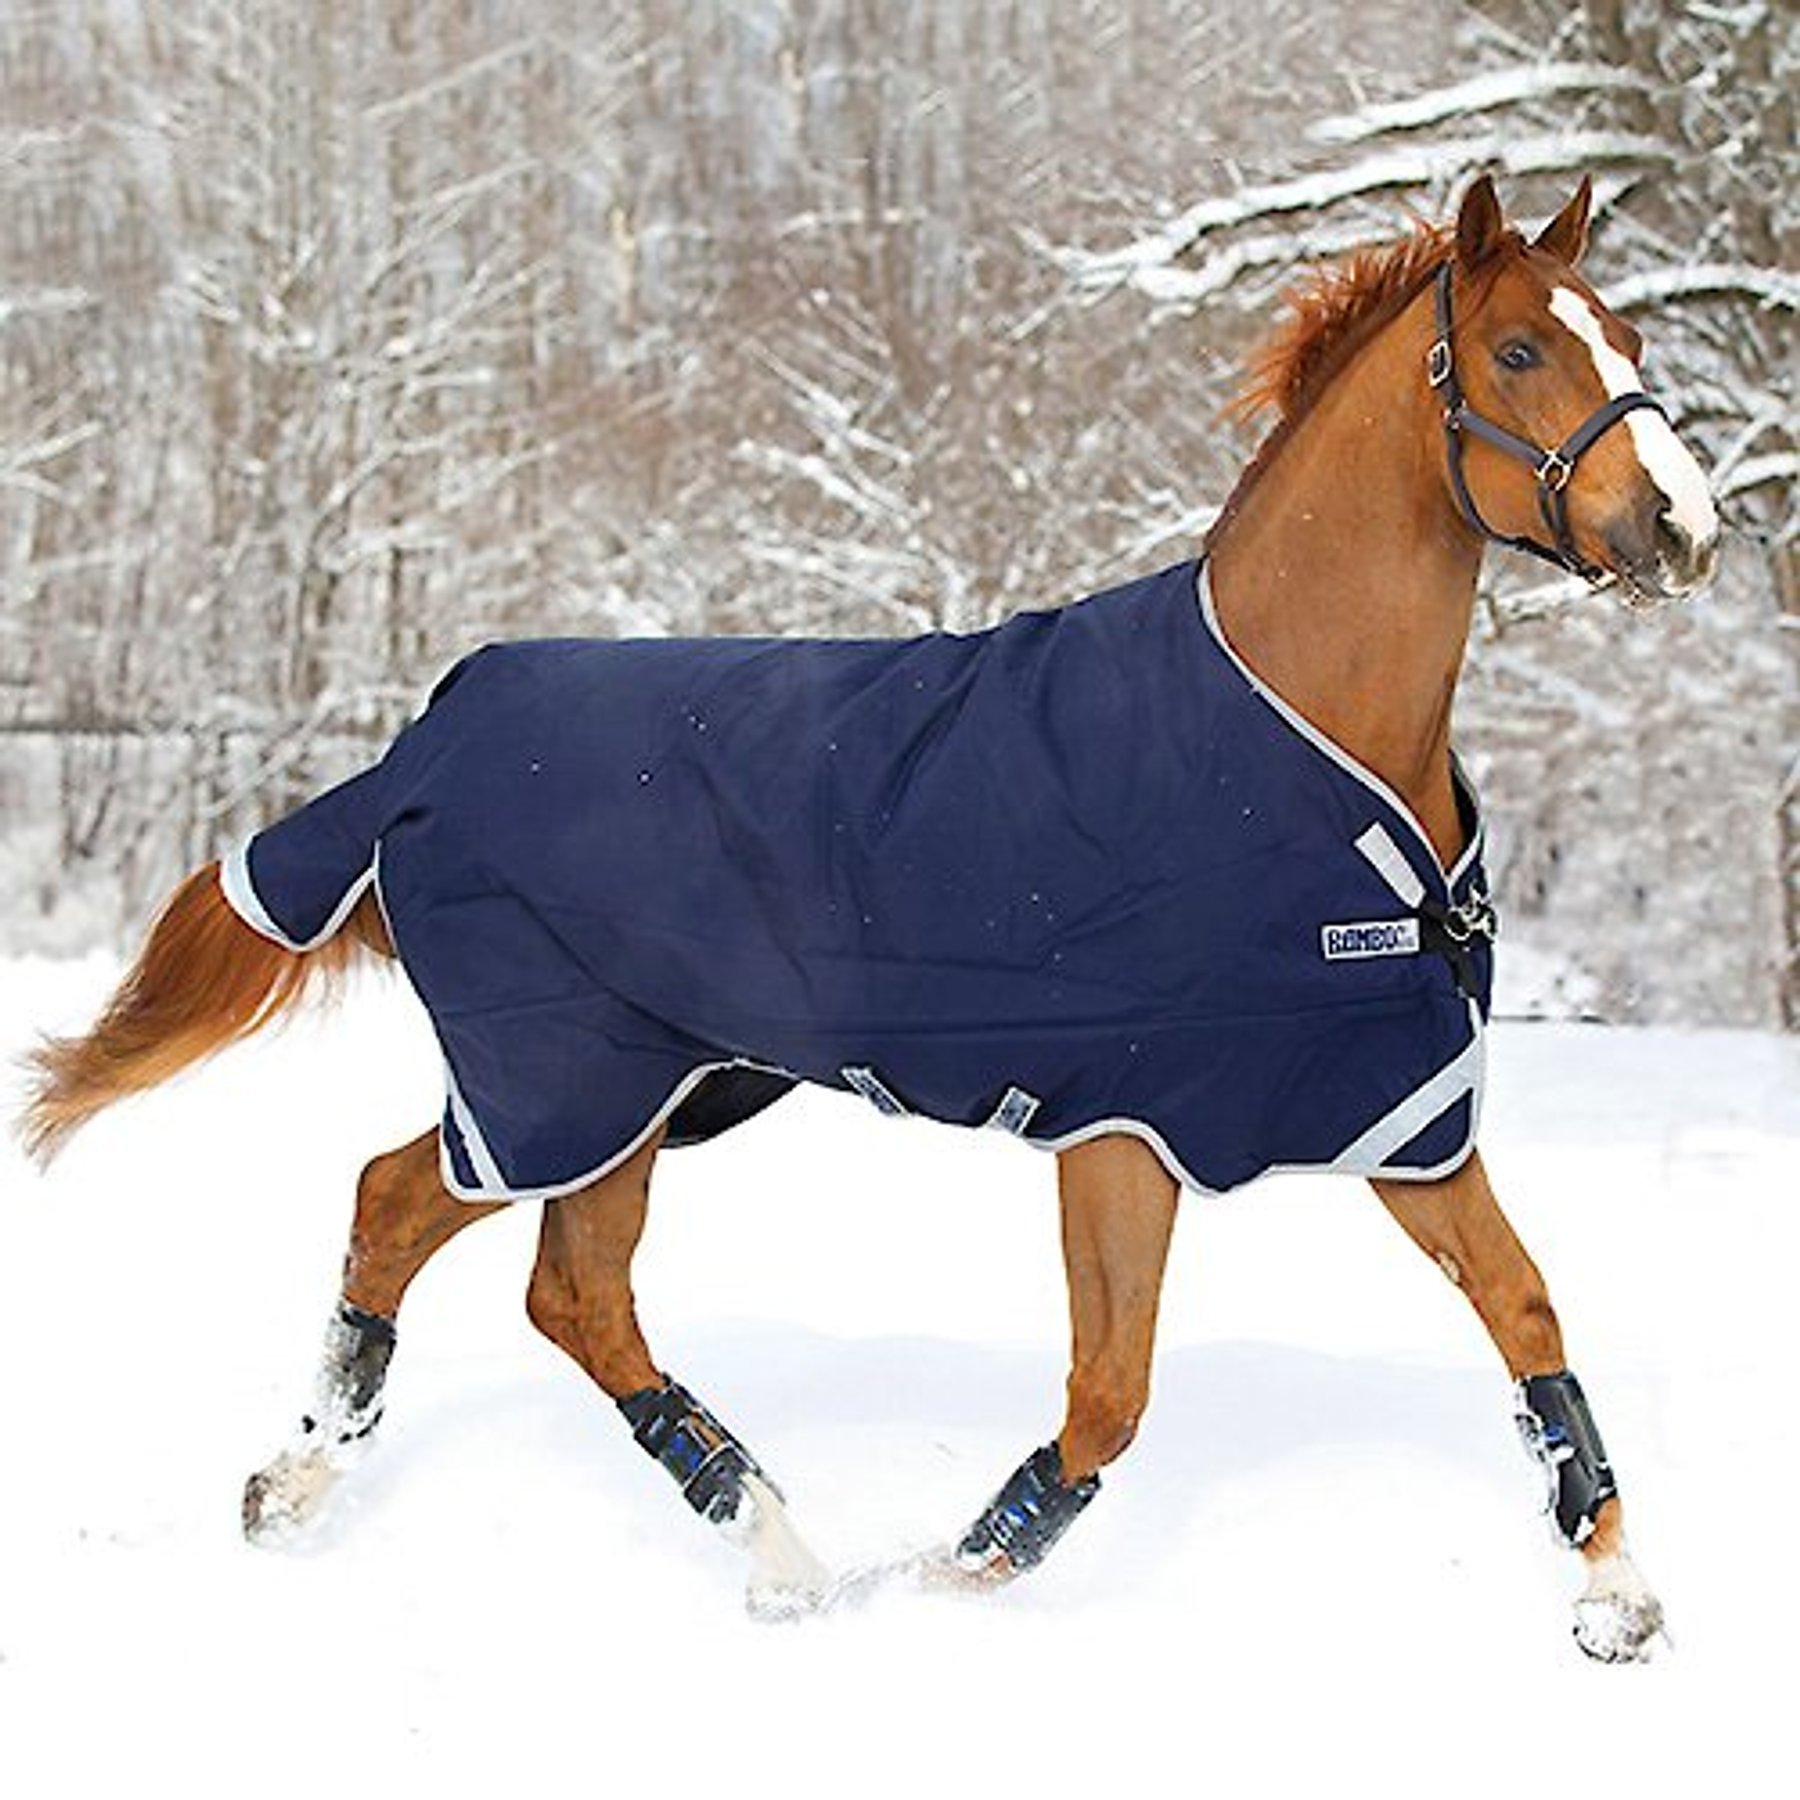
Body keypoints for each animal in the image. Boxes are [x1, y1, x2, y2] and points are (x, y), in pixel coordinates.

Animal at [19, 175, 1719, 1659]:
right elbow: (1109, 1394)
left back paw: (340, 1487)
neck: (1301, 735)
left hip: (645, 1090)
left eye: (1629, 336)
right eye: (1520, 351)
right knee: (516, 1264)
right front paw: (947, 1581)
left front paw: (1617, 1596)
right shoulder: (1124, 1129)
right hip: (573, 1079)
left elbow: (1523, 1308)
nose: (1680, 528)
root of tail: (422, 749)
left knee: (469, 1241)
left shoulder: (1388, 1109)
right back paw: (769, 1547)